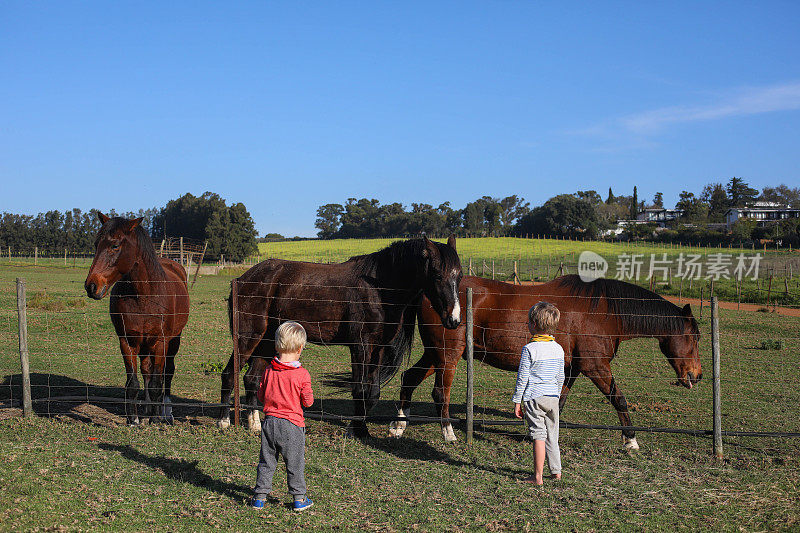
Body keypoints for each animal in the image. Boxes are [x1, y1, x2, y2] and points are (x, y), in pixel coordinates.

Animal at [85, 212, 190, 424]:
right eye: (96, 244)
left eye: (115, 246)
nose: (91, 286)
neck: (144, 295)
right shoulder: (128, 341)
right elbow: (133, 382)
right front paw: (133, 419)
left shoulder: (160, 342)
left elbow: (158, 383)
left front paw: (156, 420)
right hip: (144, 344)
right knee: (146, 370)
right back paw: (148, 408)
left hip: (173, 340)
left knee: (167, 372)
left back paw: (165, 411)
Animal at [220, 237, 462, 436]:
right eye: (437, 274)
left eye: (458, 275)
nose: (454, 319)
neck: (379, 288)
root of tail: (244, 278)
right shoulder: (360, 346)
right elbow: (359, 388)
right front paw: (358, 429)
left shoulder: (379, 348)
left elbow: (373, 392)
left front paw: (359, 427)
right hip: (248, 337)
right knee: (229, 375)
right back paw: (224, 421)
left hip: (268, 341)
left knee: (251, 379)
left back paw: (254, 424)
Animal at [390, 272, 700, 446]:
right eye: (695, 337)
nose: (695, 376)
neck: (605, 311)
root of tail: (429, 293)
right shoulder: (596, 367)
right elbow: (618, 398)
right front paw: (630, 439)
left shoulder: (573, 369)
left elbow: (558, 404)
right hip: (448, 355)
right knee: (439, 392)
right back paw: (449, 434)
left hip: (435, 355)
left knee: (409, 378)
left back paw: (399, 426)